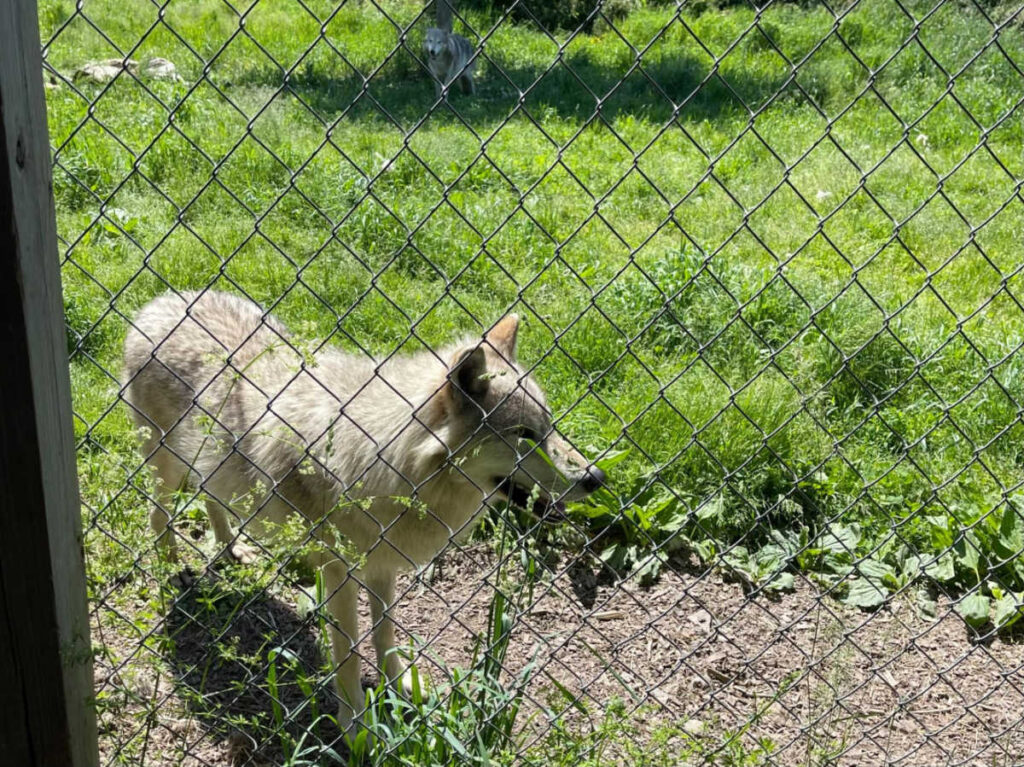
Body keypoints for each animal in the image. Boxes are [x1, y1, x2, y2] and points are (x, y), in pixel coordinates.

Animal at [122, 290, 605, 738]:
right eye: (524, 435)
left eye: (549, 427)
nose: (596, 477)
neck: (386, 463)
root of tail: (160, 302)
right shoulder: (338, 575)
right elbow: (350, 654)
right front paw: (356, 725)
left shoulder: (382, 567)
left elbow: (384, 636)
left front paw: (401, 689)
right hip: (166, 468)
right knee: (156, 515)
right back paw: (172, 568)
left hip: (208, 466)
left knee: (210, 499)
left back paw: (230, 550)